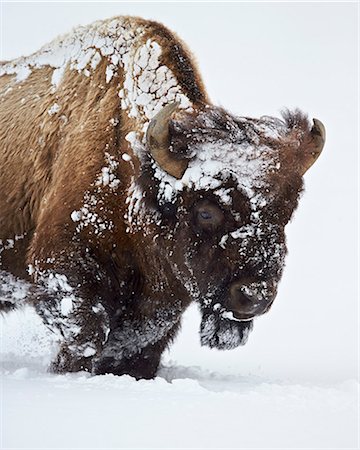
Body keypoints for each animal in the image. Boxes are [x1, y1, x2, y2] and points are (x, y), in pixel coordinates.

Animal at [0, 15, 324, 378]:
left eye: (287, 210)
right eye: (206, 211)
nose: (254, 295)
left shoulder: (164, 296)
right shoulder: (61, 267)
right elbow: (86, 335)